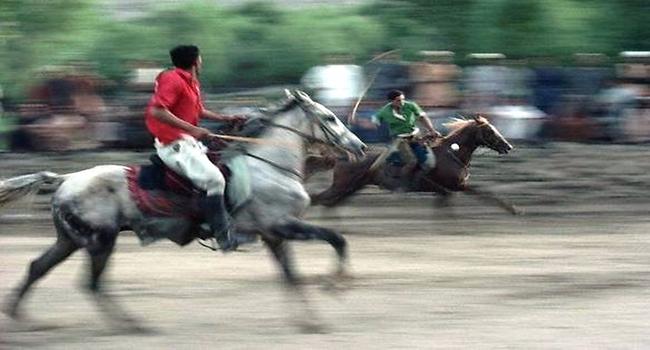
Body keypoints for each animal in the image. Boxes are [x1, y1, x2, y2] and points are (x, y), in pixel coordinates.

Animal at [0, 90, 364, 330]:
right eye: (330, 117)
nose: (359, 146)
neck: (270, 165)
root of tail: (66, 178)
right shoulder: (281, 225)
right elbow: (336, 239)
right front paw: (337, 285)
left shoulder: (273, 235)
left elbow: (291, 275)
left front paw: (310, 319)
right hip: (100, 241)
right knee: (92, 284)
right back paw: (132, 323)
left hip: (70, 240)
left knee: (37, 267)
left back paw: (21, 316)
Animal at [306, 115, 520, 213]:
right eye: (490, 131)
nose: (508, 146)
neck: (451, 153)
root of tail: (343, 156)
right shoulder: (453, 186)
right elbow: (486, 194)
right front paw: (513, 209)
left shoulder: (447, 189)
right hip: (342, 185)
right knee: (317, 199)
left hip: (352, 187)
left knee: (328, 204)